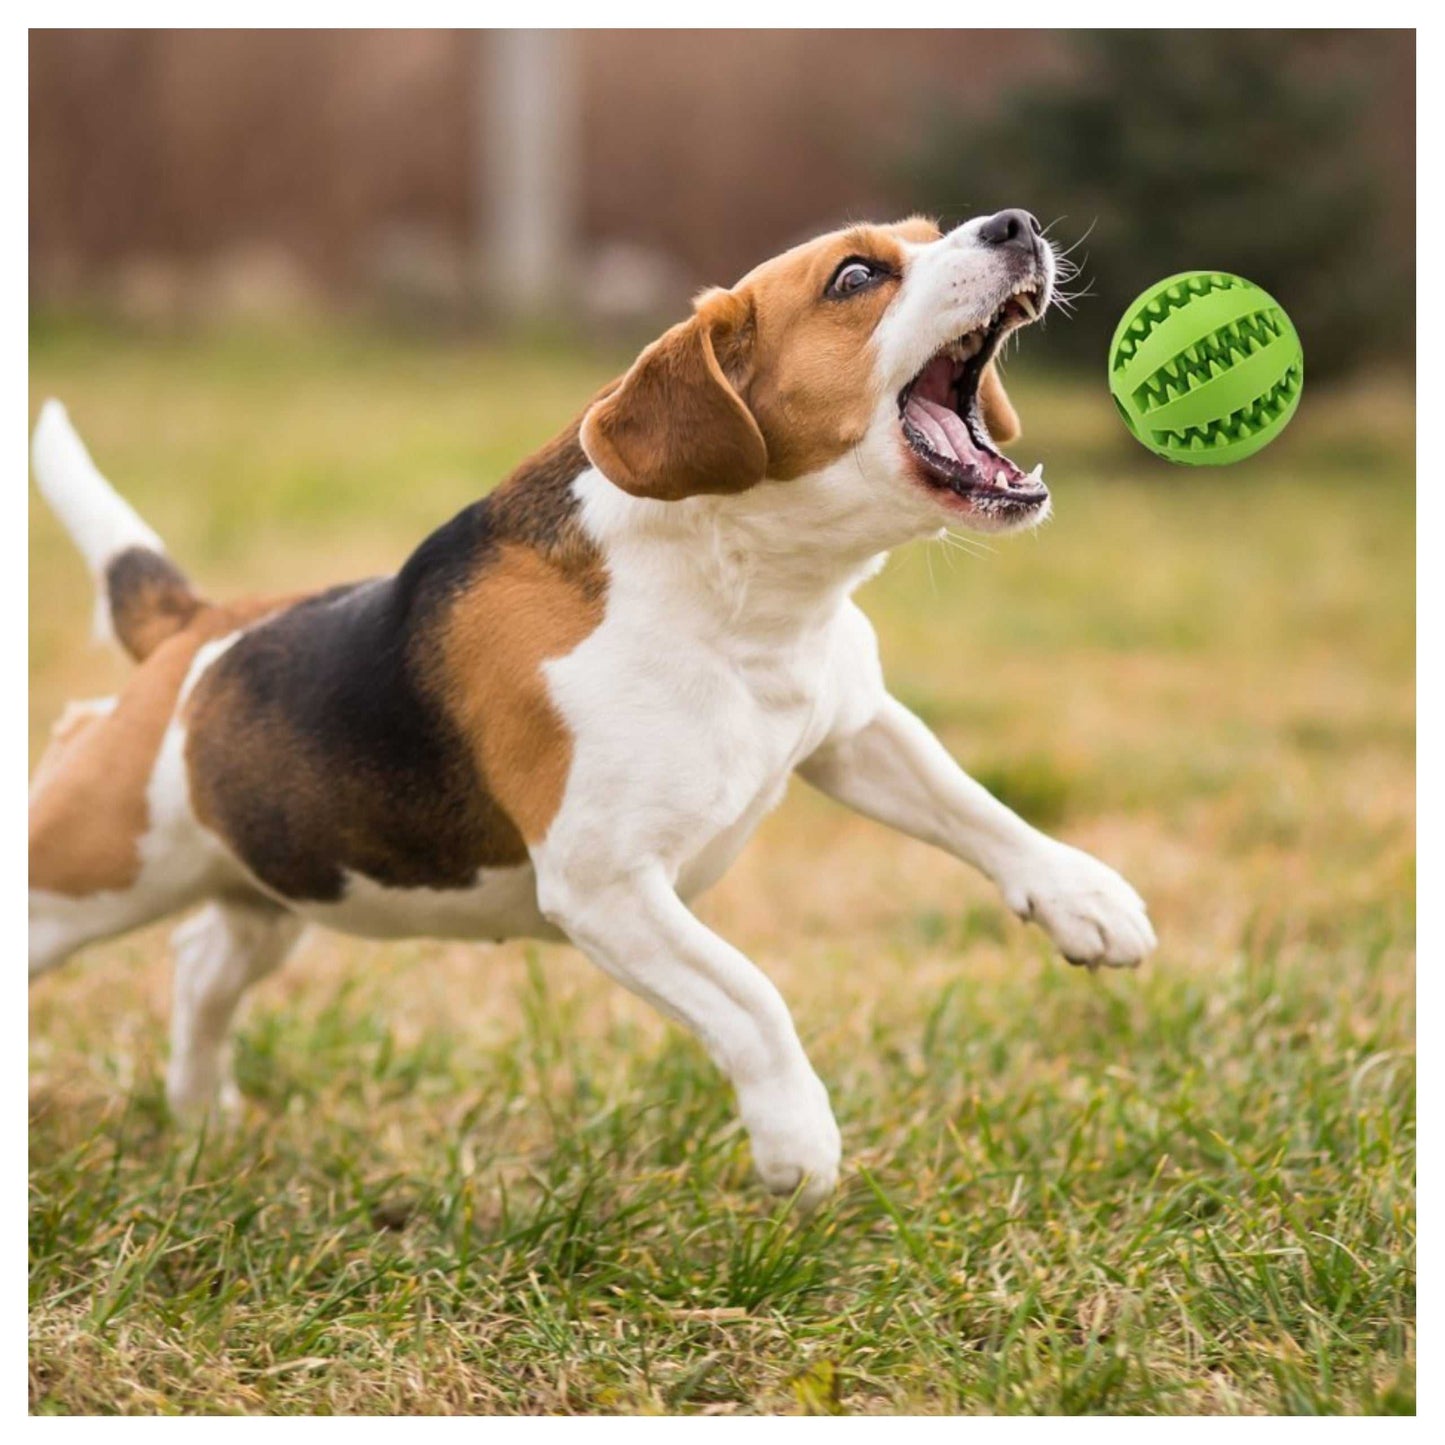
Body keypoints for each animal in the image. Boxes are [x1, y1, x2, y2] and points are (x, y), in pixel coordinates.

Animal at [31, 210, 1150, 1208]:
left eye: (927, 233)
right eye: (854, 277)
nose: (1014, 224)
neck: (745, 592)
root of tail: (192, 630)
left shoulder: (851, 728)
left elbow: (975, 808)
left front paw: (1083, 897)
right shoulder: (608, 885)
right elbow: (750, 994)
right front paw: (797, 1137)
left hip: (280, 886)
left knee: (199, 961)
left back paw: (199, 1115)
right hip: (89, 867)